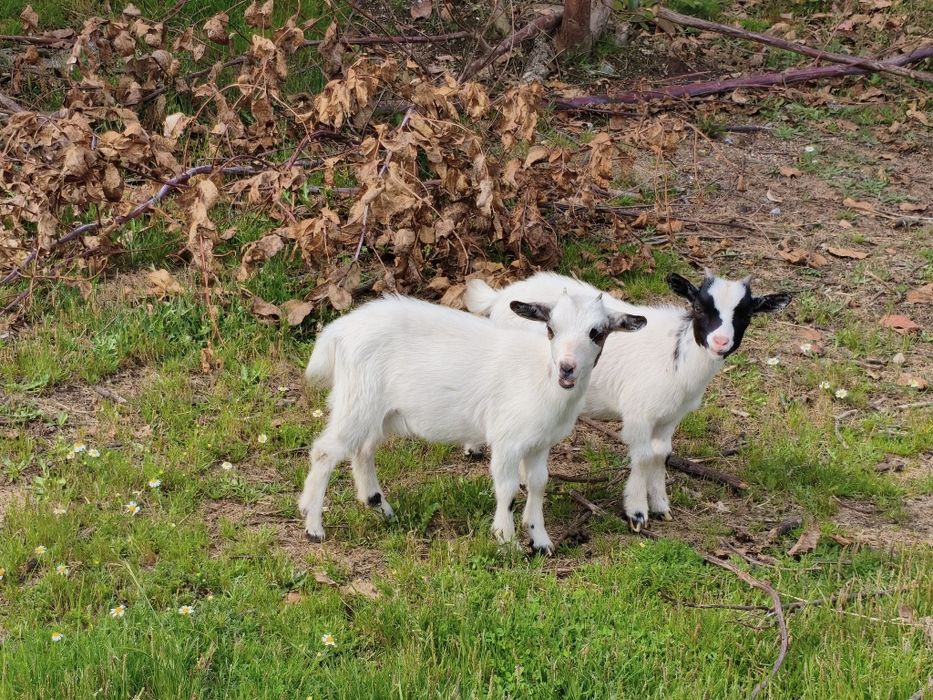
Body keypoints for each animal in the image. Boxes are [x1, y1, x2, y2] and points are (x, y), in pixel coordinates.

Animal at [299, 293, 647, 552]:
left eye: (597, 333)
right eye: (551, 328)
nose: (567, 368)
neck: (543, 376)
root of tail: (338, 332)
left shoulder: (539, 443)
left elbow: (538, 483)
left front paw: (540, 540)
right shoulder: (507, 438)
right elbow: (507, 488)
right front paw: (506, 540)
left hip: (378, 411)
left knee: (362, 450)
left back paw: (377, 507)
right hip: (358, 399)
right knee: (325, 452)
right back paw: (313, 526)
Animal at [464, 270, 791, 531]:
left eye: (746, 314)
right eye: (698, 307)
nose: (720, 342)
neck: (677, 357)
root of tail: (500, 296)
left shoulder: (670, 417)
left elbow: (663, 454)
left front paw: (661, 505)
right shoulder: (639, 413)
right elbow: (644, 456)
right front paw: (637, 511)